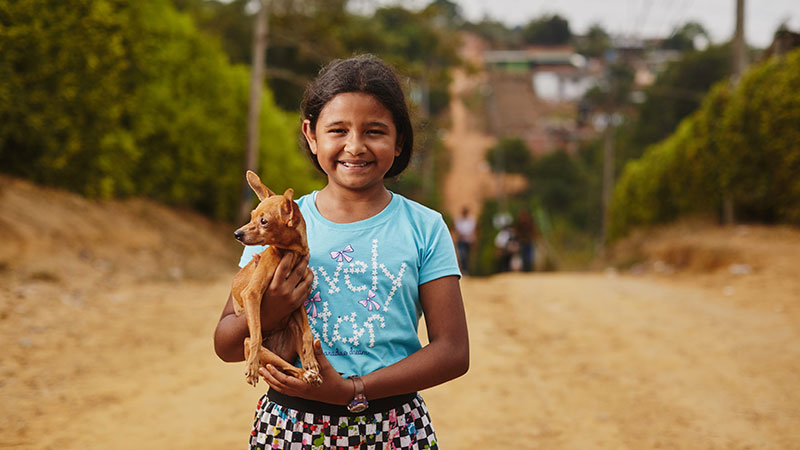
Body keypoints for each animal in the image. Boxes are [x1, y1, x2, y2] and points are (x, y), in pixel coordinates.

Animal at [230, 170, 320, 386]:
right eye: (251, 216)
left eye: (264, 221)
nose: (237, 233)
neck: (290, 253)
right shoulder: (252, 294)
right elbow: (256, 334)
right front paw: (252, 367)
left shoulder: (296, 299)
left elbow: (307, 331)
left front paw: (311, 358)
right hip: (255, 346)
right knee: (285, 365)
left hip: (291, 333)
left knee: (293, 366)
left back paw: (310, 371)